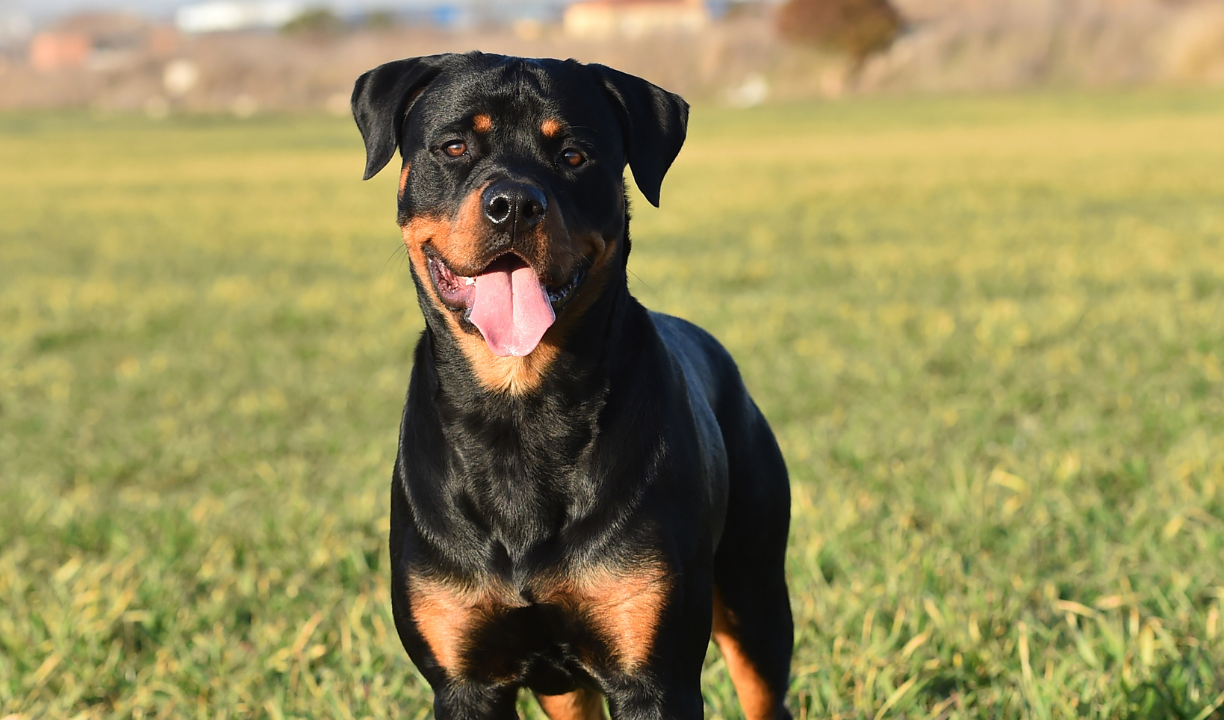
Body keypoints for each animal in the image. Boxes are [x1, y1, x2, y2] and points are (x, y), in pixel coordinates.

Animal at [354, 52, 793, 720]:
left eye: (574, 155)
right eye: (454, 146)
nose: (513, 203)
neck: (520, 412)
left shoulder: (655, 675)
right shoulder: (462, 680)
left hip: (754, 590)